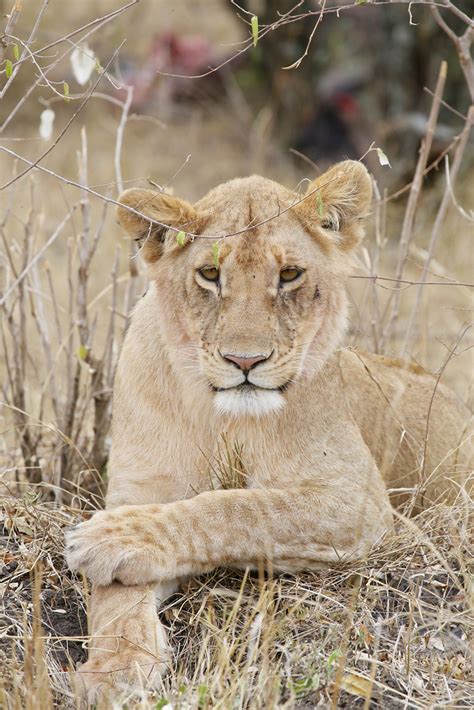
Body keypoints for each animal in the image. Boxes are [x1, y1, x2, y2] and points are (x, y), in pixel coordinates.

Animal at [65, 161, 470, 700]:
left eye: (290, 274)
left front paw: (112, 539)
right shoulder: (140, 487)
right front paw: (116, 666)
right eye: (210, 274)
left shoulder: (357, 500)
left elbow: (239, 507)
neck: (224, 417)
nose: (245, 361)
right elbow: (112, 596)